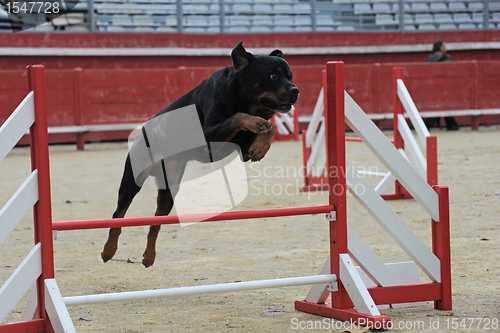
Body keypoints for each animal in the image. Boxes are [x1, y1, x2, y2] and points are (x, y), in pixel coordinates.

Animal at [99, 41, 298, 266]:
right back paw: (109, 250)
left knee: (155, 223)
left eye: (290, 76)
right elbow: (238, 116)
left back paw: (149, 256)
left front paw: (261, 144)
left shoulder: (242, 150)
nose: (295, 90)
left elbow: (268, 128)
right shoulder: (208, 136)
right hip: (133, 179)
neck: (241, 97)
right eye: (272, 76)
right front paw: (256, 122)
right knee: (118, 214)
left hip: (169, 189)